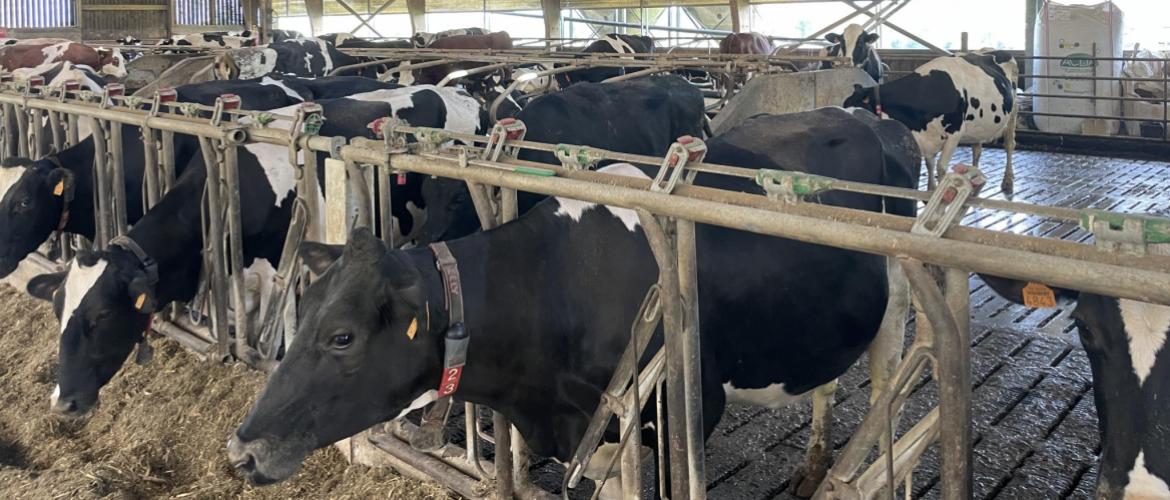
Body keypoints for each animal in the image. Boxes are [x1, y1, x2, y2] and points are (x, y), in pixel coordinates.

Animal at [226, 107, 921, 494]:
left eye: (342, 336)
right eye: (303, 318)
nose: (242, 450)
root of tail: (873, 119)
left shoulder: (684, 409)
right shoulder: (586, 432)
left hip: (898, 300)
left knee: (884, 387)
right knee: (825, 377)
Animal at [843, 51, 1019, 193]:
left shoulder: (955, 132)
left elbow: (940, 167)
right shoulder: (928, 138)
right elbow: (929, 164)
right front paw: (930, 190)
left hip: (1013, 113)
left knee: (1009, 144)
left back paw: (1008, 181)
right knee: (977, 149)